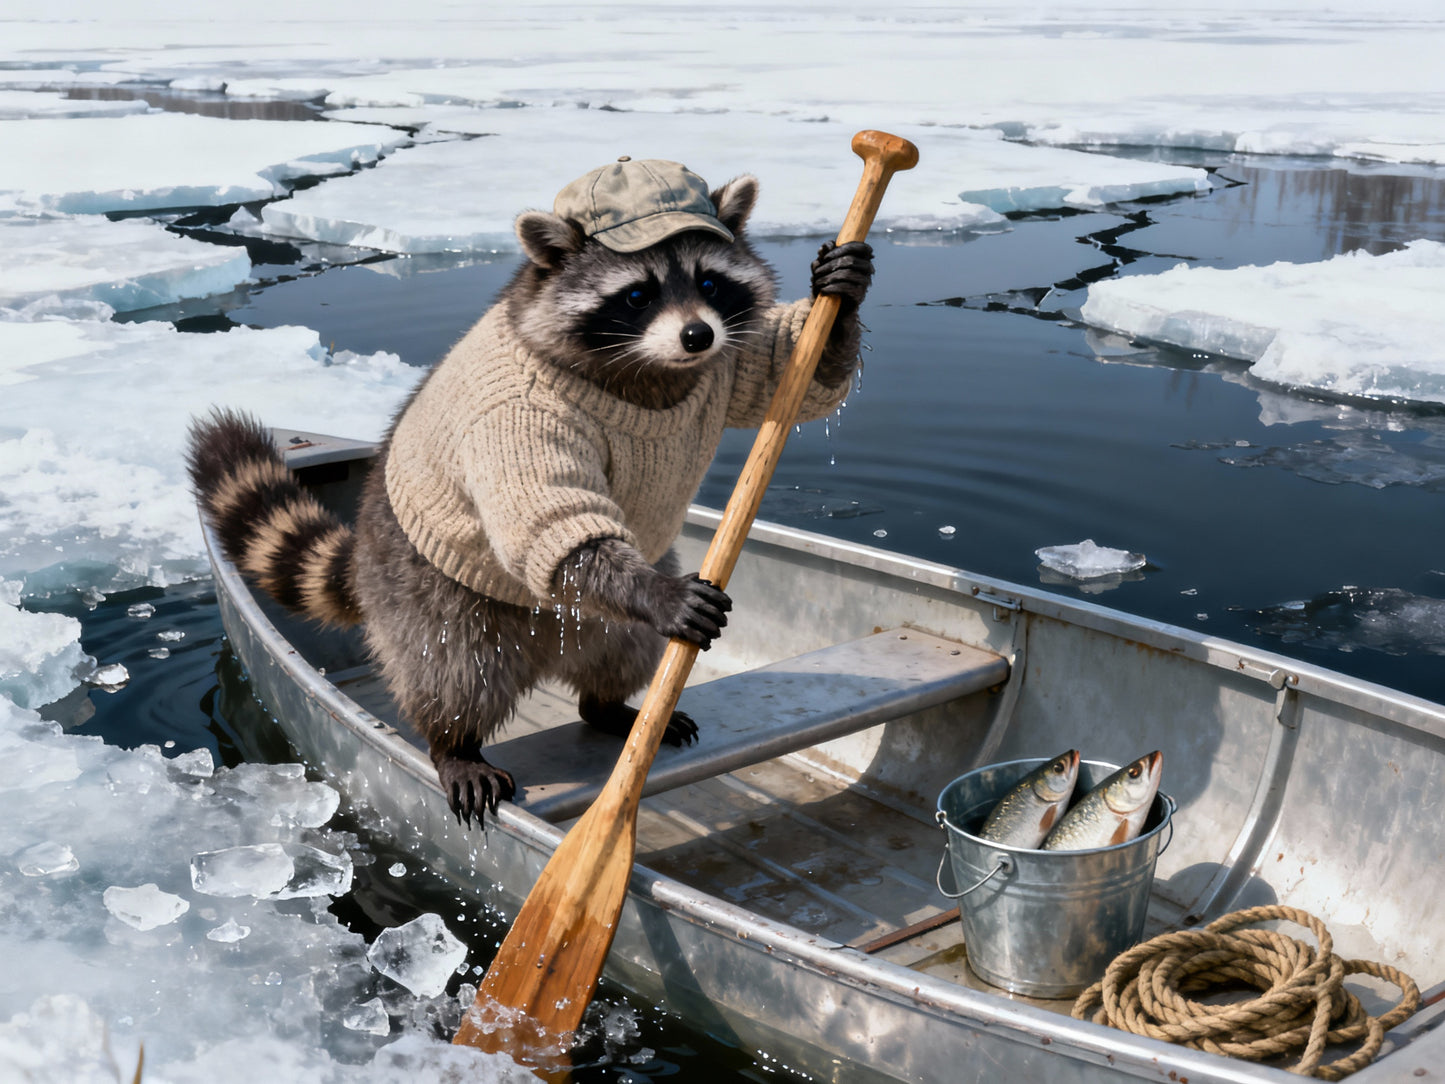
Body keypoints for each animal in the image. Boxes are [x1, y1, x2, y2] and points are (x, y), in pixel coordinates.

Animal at [189, 157, 873, 828]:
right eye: (637, 295)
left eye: (709, 284)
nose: (697, 337)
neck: (648, 373)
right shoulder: (516, 421)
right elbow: (555, 524)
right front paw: (657, 594)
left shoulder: (727, 366)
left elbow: (789, 377)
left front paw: (840, 293)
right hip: (428, 595)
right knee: (454, 673)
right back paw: (454, 745)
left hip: (591, 624)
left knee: (626, 649)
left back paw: (608, 706)